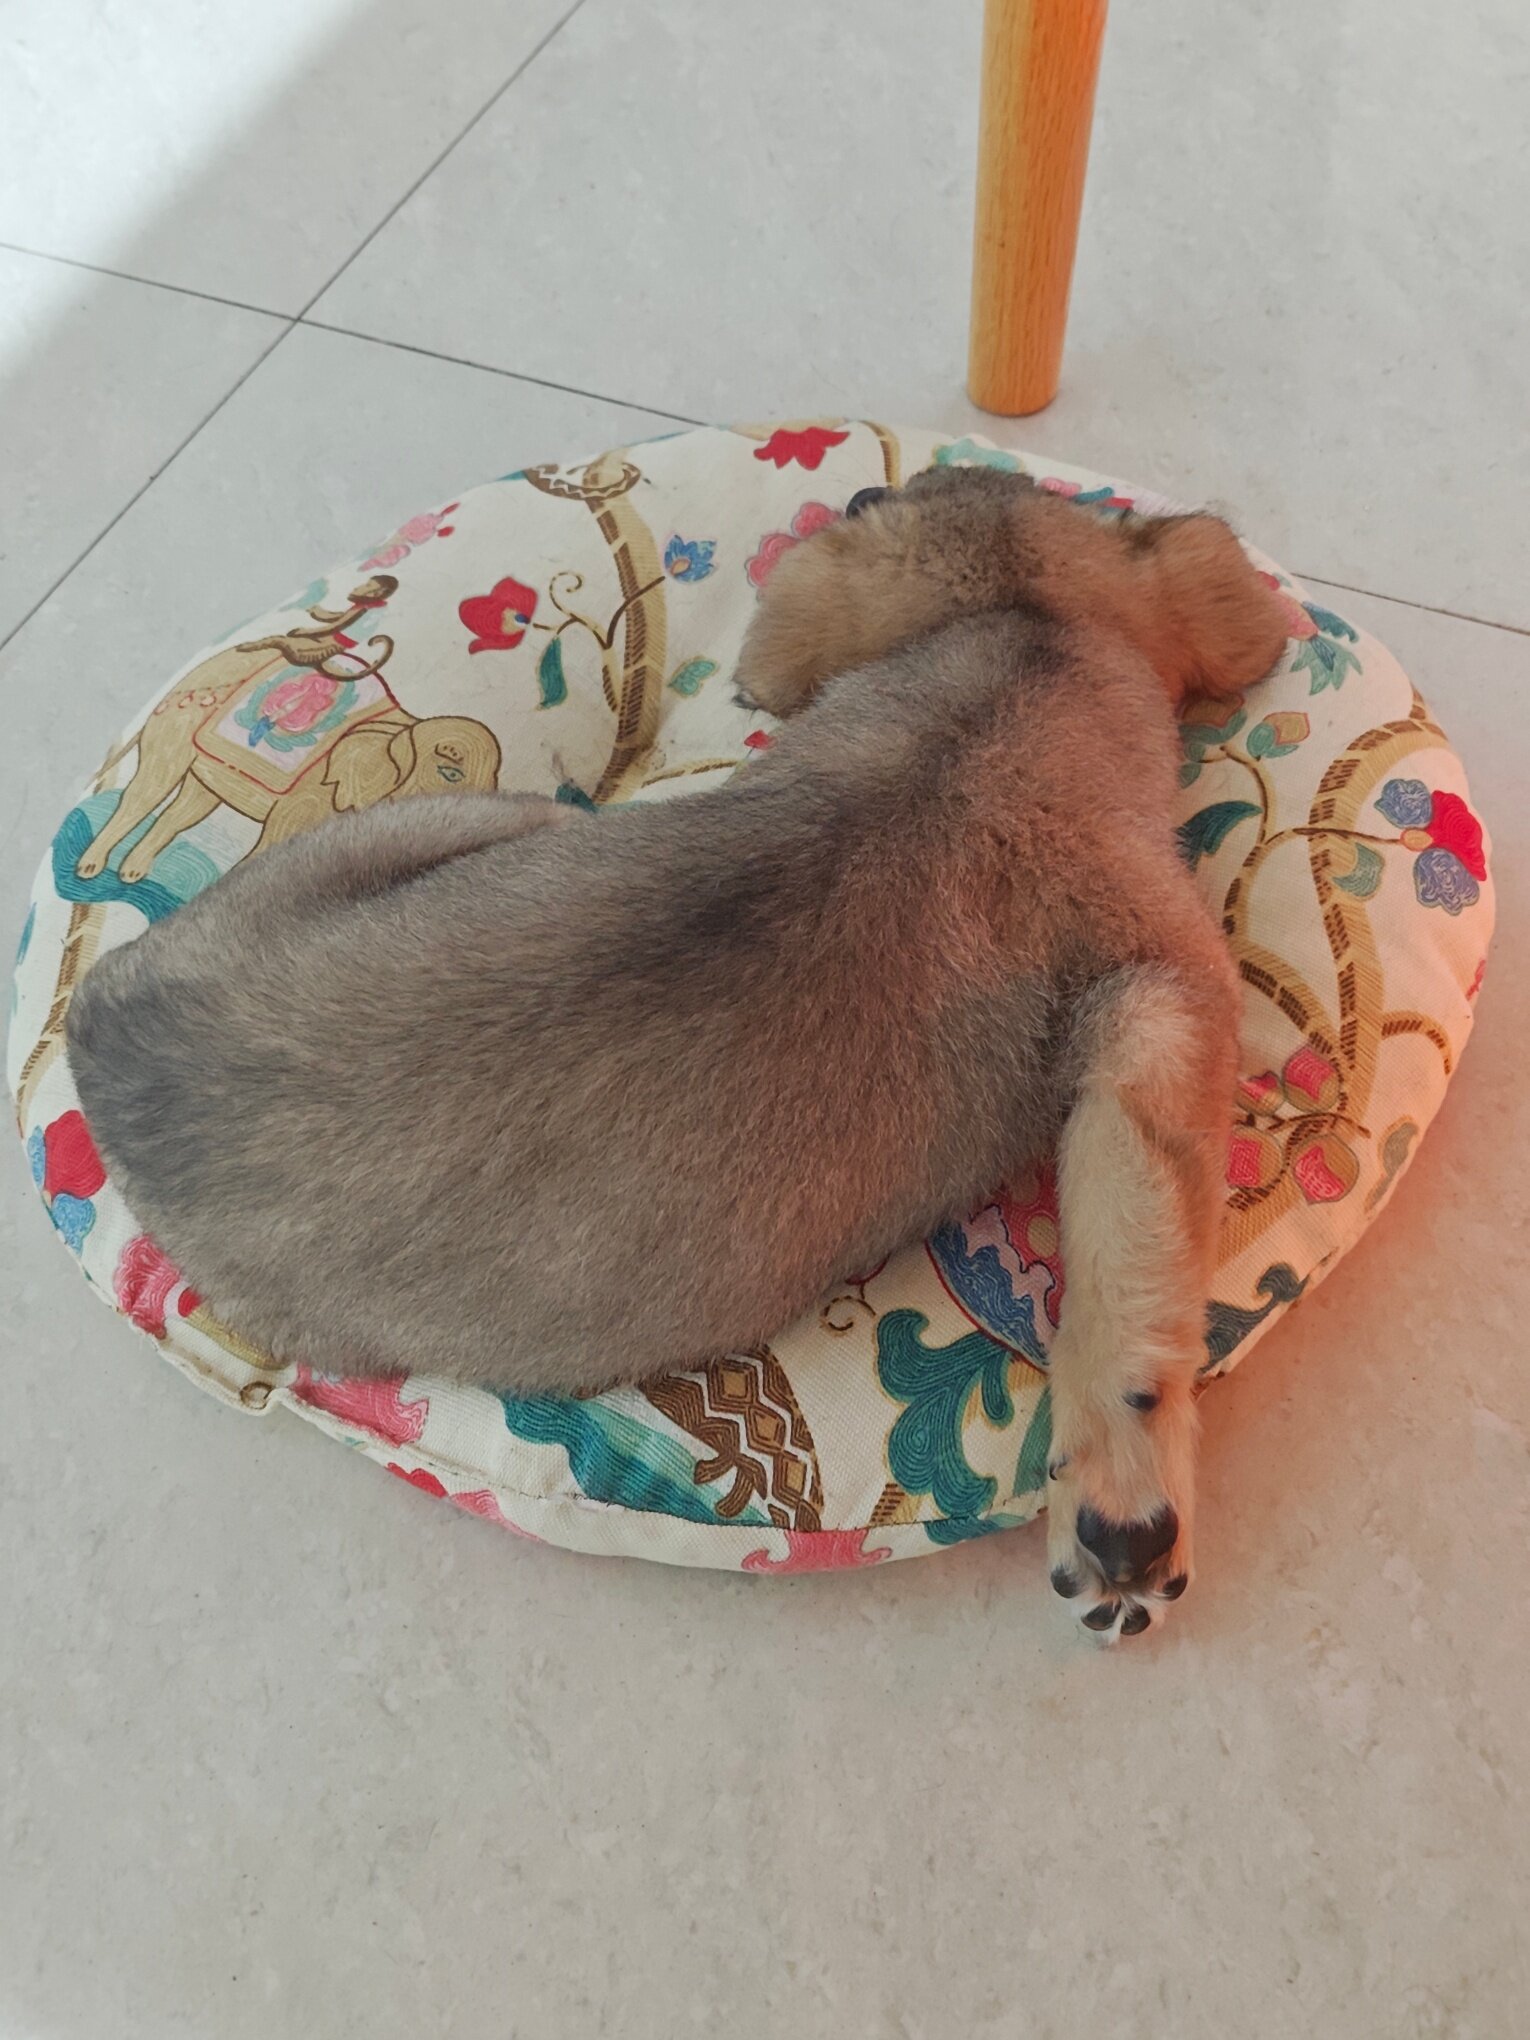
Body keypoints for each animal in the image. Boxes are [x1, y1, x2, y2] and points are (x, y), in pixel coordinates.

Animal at [66, 464, 1288, 1637]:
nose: (861, 492)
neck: (1026, 635)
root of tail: (100, 1023)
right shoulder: (1171, 999)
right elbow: (1133, 1286)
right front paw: (1124, 1499)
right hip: (518, 819)